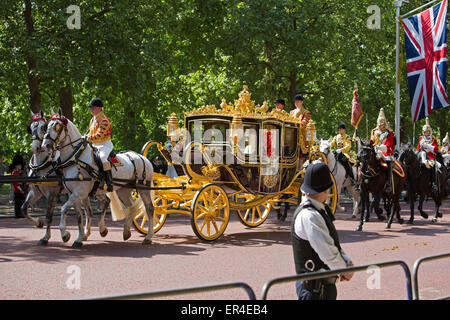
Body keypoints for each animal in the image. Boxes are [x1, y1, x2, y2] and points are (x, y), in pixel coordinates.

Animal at [23, 111, 110, 244]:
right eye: (30, 128)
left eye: (43, 127)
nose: (36, 148)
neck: (43, 164)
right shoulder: (35, 192)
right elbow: (24, 209)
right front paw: (38, 223)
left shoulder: (52, 194)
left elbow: (49, 216)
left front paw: (48, 237)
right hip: (93, 191)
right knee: (94, 208)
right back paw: (90, 232)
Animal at [42, 109, 155, 248]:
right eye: (47, 126)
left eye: (57, 126)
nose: (45, 145)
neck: (76, 158)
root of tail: (143, 158)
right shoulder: (73, 194)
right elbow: (79, 216)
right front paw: (78, 238)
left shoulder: (79, 193)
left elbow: (64, 209)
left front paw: (65, 234)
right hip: (123, 190)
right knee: (131, 207)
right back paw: (126, 231)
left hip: (143, 188)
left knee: (149, 209)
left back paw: (148, 237)